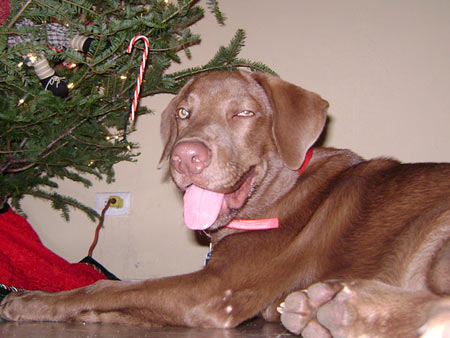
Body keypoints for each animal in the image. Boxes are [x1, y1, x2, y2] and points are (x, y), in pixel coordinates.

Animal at [0, 70, 450, 336]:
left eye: (245, 114)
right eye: (183, 112)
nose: (185, 157)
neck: (277, 193)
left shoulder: (218, 288)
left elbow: (110, 286)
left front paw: (29, 300)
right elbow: (121, 293)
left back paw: (339, 311)